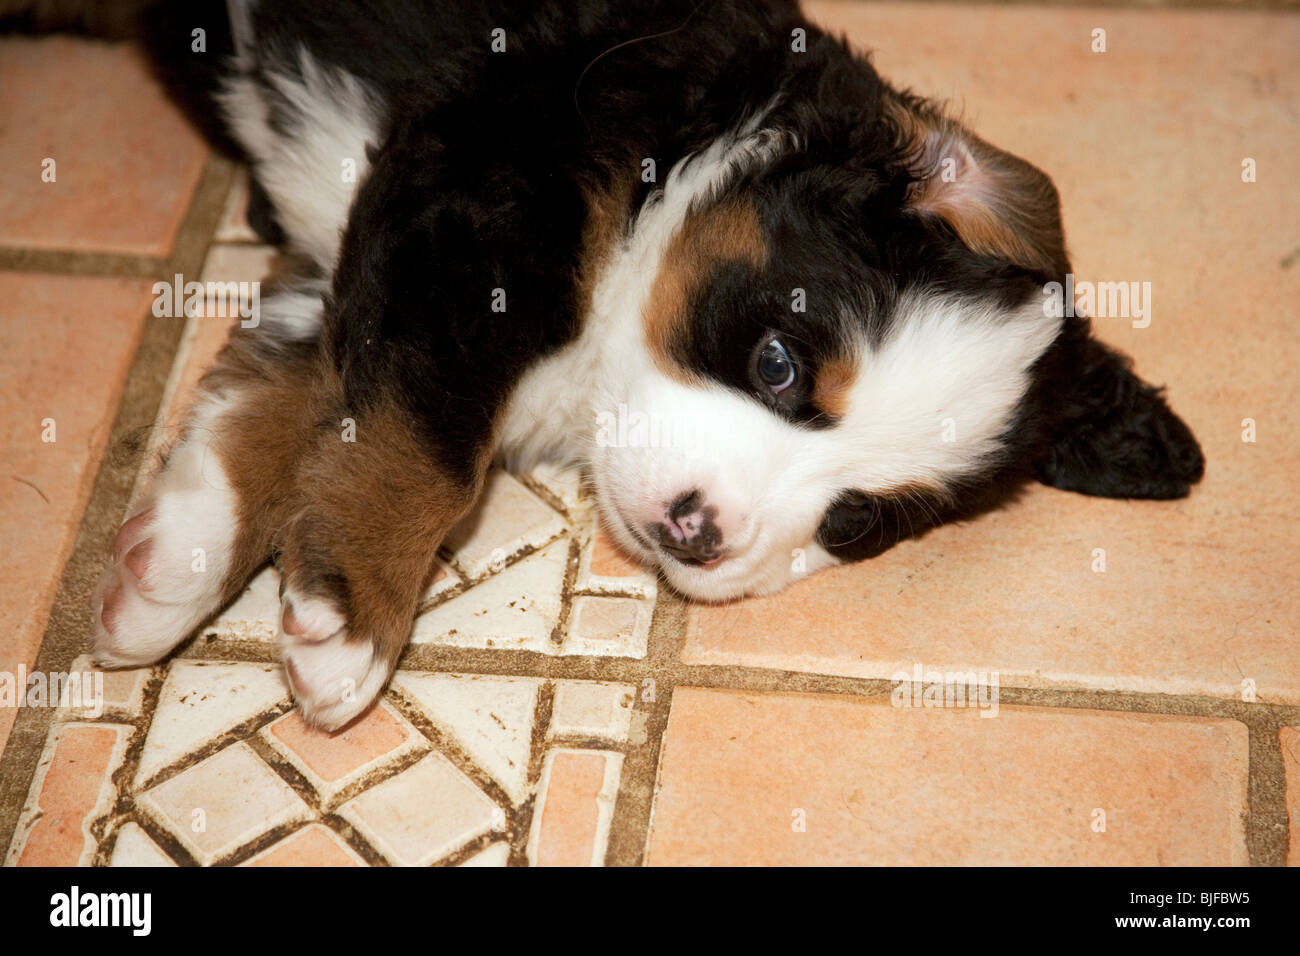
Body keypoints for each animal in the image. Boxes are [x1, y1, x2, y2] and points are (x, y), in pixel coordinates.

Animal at [94, 0, 1206, 728]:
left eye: (851, 521)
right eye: (777, 363)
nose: (697, 532)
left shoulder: (356, 261)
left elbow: (290, 402)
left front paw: (166, 571)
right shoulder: (473, 201)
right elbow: (429, 441)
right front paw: (351, 620)